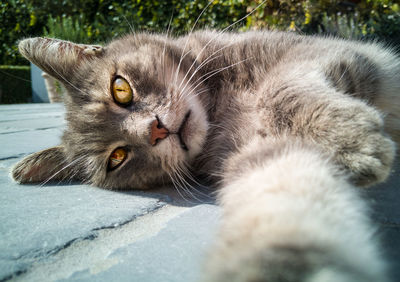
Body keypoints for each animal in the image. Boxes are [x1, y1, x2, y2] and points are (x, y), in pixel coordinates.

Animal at [10, 29, 398, 282]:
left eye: (120, 89)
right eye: (117, 158)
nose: (155, 130)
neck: (218, 109)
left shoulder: (319, 54)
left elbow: (280, 89)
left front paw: (353, 140)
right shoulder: (258, 155)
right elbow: (284, 214)